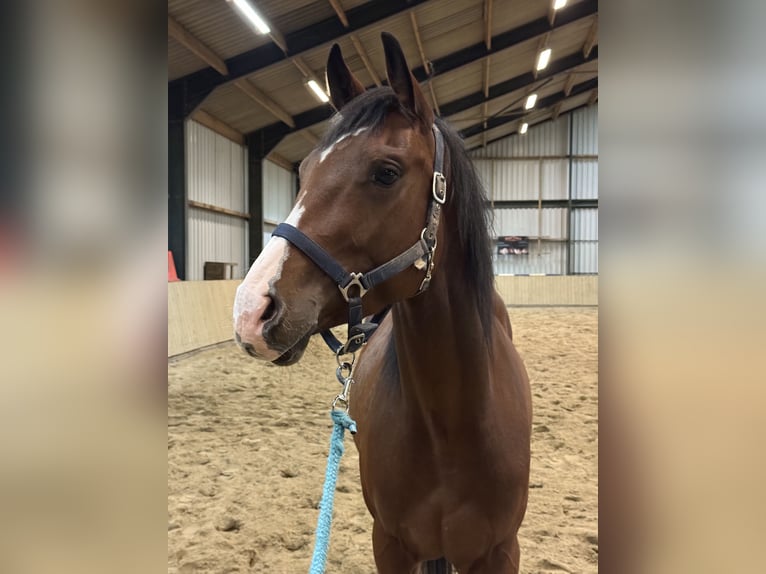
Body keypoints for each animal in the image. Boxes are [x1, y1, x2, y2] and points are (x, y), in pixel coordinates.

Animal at [233, 33, 532, 574]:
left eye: (386, 173)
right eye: (304, 170)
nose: (251, 310)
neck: (451, 425)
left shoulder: (500, 552)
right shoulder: (389, 543)